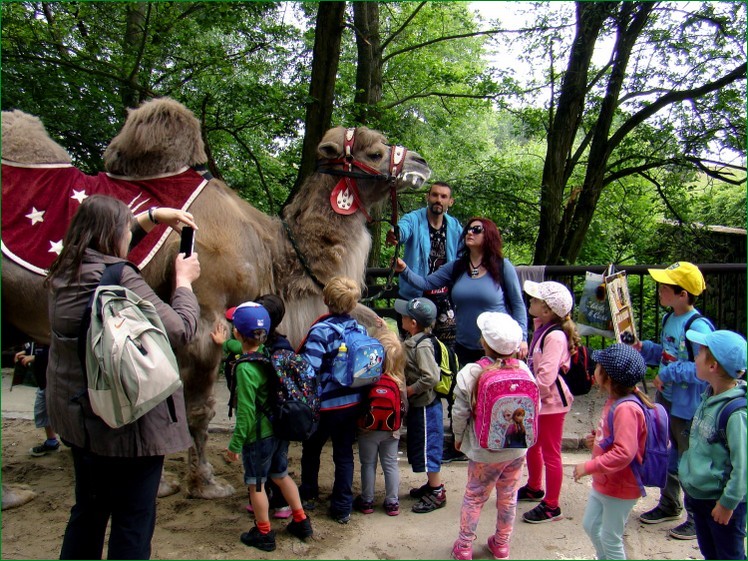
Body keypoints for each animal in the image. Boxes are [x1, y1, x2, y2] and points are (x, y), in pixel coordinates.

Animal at [1, 98, 431, 500]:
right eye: (374, 151)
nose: (422, 163)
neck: (274, 251)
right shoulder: (205, 319)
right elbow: (196, 408)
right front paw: (204, 483)